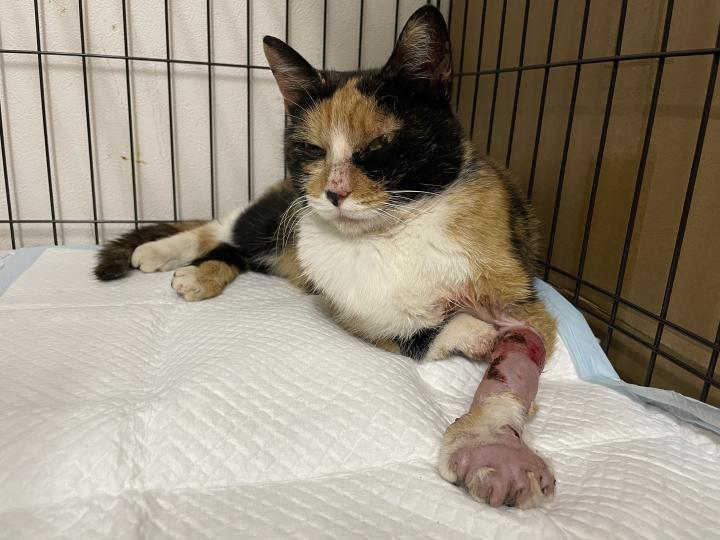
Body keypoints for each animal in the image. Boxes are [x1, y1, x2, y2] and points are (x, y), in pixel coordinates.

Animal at [95, 6, 557, 508]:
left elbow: (519, 341)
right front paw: (476, 338)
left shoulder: (520, 291)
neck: (389, 236)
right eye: (311, 149)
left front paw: (493, 427)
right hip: (278, 217)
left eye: (378, 146)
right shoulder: (353, 311)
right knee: (223, 226)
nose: (334, 192)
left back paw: (196, 273)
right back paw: (162, 255)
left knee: (234, 247)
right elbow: (417, 332)